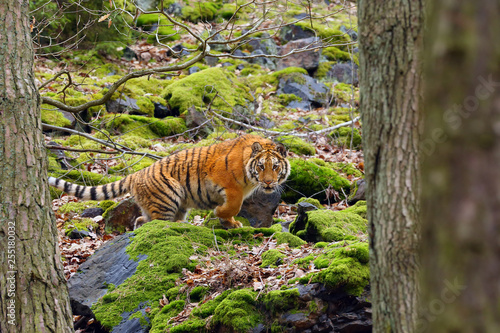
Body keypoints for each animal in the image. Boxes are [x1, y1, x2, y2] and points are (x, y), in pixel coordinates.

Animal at [48, 134, 292, 228]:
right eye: (261, 167)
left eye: (275, 167)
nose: (268, 183)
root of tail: (136, 173)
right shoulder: (229, 186)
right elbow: (234, 205)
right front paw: (224, 216)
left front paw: (230, 222)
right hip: (168, 199)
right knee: (155, 223)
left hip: (175, 207)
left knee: (141, 220)